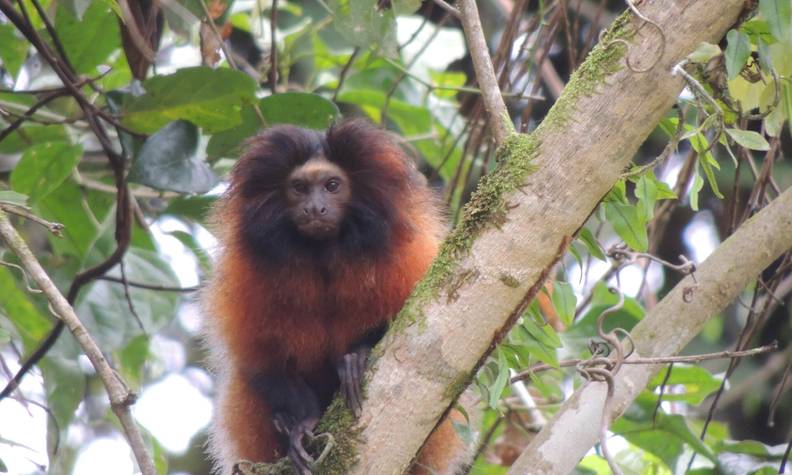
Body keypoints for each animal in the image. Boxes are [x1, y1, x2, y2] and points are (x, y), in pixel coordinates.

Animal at [201, 120, 470, 475]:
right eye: (299, 187)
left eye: (331, 185)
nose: (315, 207)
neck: (323, 255)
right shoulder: (248, 274)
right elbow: (260, 362)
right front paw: (302, 421)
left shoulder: (406, 257)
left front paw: (356, 358)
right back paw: (283, 422)